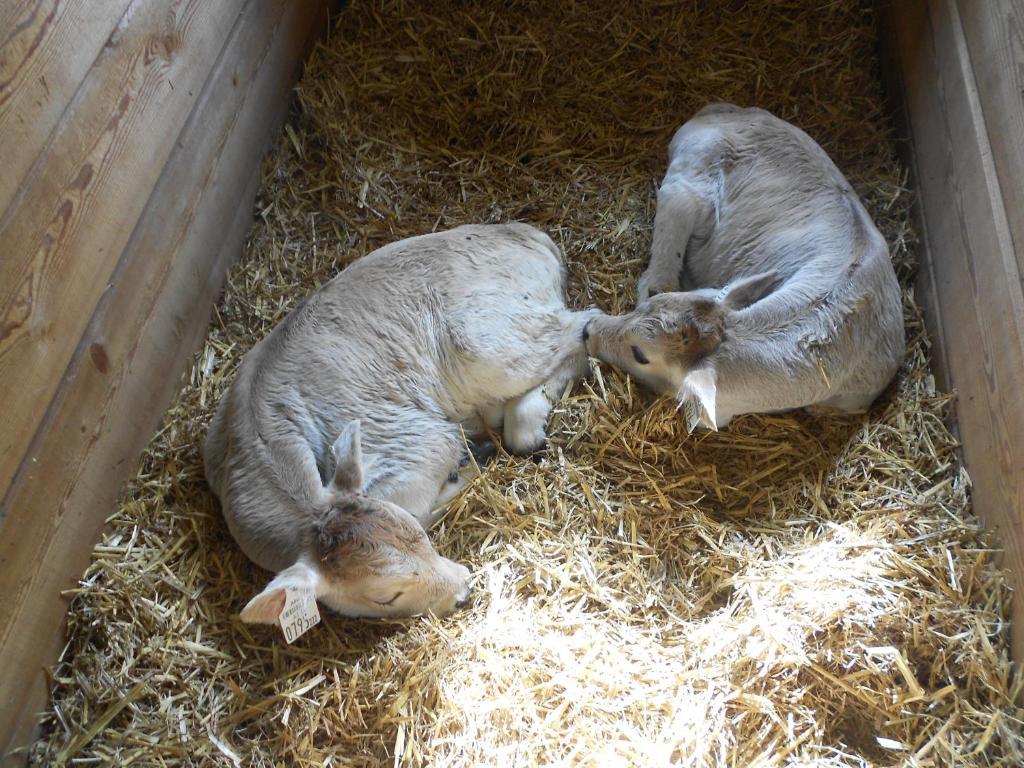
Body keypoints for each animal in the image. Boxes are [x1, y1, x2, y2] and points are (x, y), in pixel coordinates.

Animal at [203, 222, 598, 626]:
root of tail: (520, 230)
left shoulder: (423, 444)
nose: (464, 593)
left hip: (492, 345)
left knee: (584, 326)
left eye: (421, 540)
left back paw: (527, 424)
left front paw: (469, 464)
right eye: (386, 596)